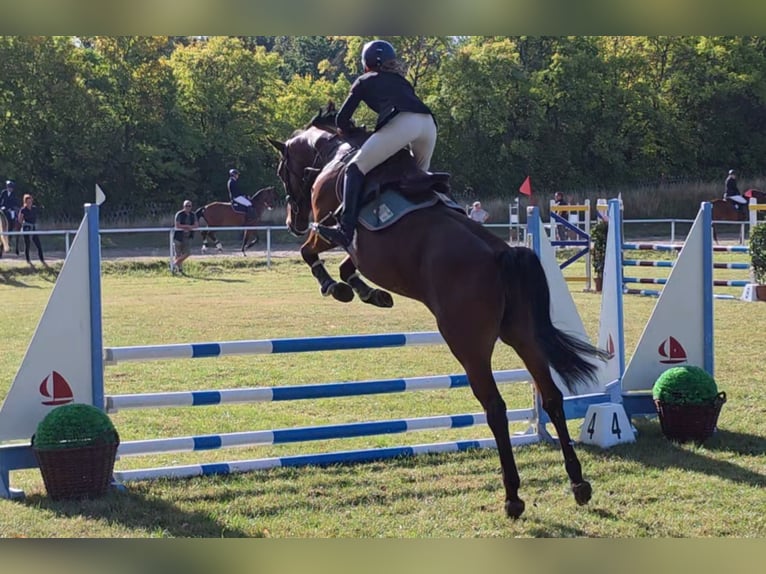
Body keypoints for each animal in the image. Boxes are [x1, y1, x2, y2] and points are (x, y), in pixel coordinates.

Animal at [267, 105, 609, 519]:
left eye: (281, 170)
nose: (292, 222)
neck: (335, 152)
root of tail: (503, 254)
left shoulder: (329, 228)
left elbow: (312, 252)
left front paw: (333, 287)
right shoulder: (362, 253)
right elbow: (349, 267)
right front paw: (369, 294)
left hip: (467, 343)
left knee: (495, 407)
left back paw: (512, 496)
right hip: (523, 335)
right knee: (552, 397)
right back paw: (578, 483)